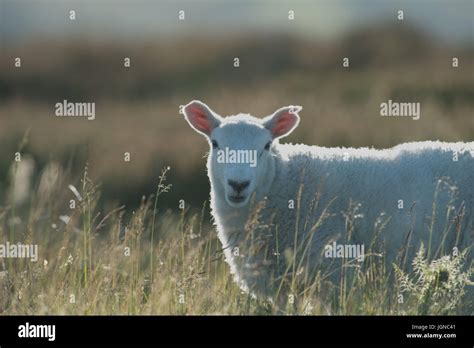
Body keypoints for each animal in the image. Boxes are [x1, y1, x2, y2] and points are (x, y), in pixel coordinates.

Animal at [181, 100, 470, 302]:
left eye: (266, 146)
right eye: (215, 144)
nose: (238, 184)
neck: (283, 182)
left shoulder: (334, 270)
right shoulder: (280, 282)